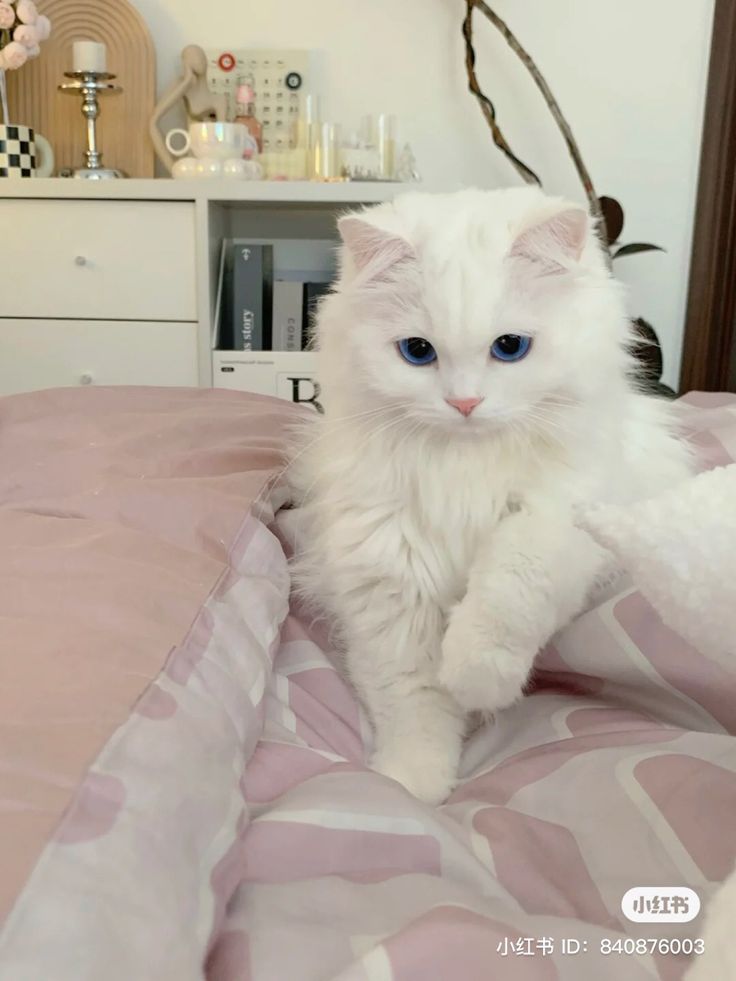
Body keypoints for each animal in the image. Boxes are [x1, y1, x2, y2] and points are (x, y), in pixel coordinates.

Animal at [286, 186, 688, 804]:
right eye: (417, 351)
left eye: (510, 347)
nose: (465, 403)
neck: (463, 471)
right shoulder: (388, 579)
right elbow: (413, 701)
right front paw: (414, 787)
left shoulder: (563, 517)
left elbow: (508, 586)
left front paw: (477, 678)